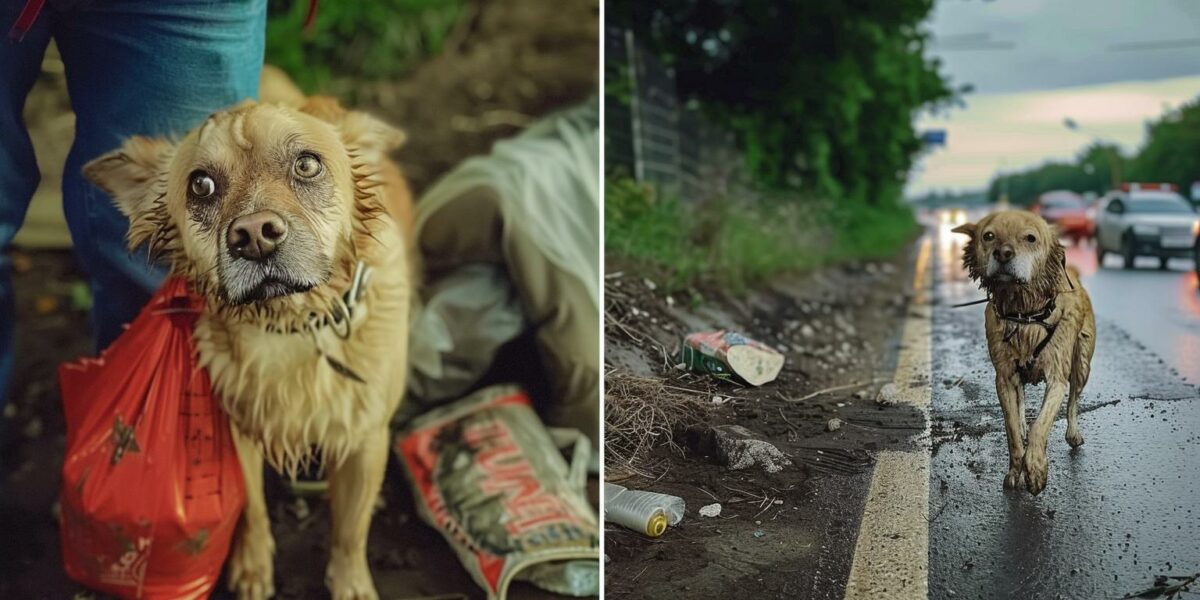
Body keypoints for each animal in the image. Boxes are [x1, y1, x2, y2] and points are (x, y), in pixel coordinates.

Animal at [87, 96, 415, 597]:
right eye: (201, 185)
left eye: (307, 164)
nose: (255, 233)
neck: (291, 324)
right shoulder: (239, 431)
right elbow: (252, 508)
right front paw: (252, 568)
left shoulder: (366, 438)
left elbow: (350, 529)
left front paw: (350, 582)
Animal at [955, 213, 1099, 494]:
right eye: (988, 236)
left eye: (1030, 238)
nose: (1003, 253)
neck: (1024, 314)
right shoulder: (1004, 377)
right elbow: (1011, 427)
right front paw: (1015, 470)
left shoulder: (1057, 378)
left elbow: (1040, 425)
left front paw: (1035, 470)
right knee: (1021, 401)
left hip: (1082, 363)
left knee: (1073, 400)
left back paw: (1073, 434)